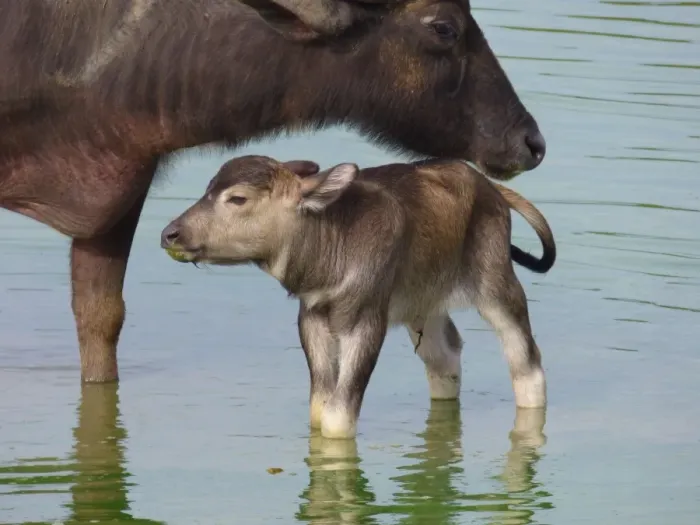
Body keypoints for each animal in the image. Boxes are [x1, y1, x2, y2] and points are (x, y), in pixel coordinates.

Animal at [160, 155, 556, 438]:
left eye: (238, 198)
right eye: (208, 190)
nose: (171, 233)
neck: (328, 255)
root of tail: (492, 189)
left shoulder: (367, 321)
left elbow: (338, 416)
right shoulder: (311, 317)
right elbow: (319, 408)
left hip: (496, 284)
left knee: (526, 360)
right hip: (423, 307)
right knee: (446, 354)